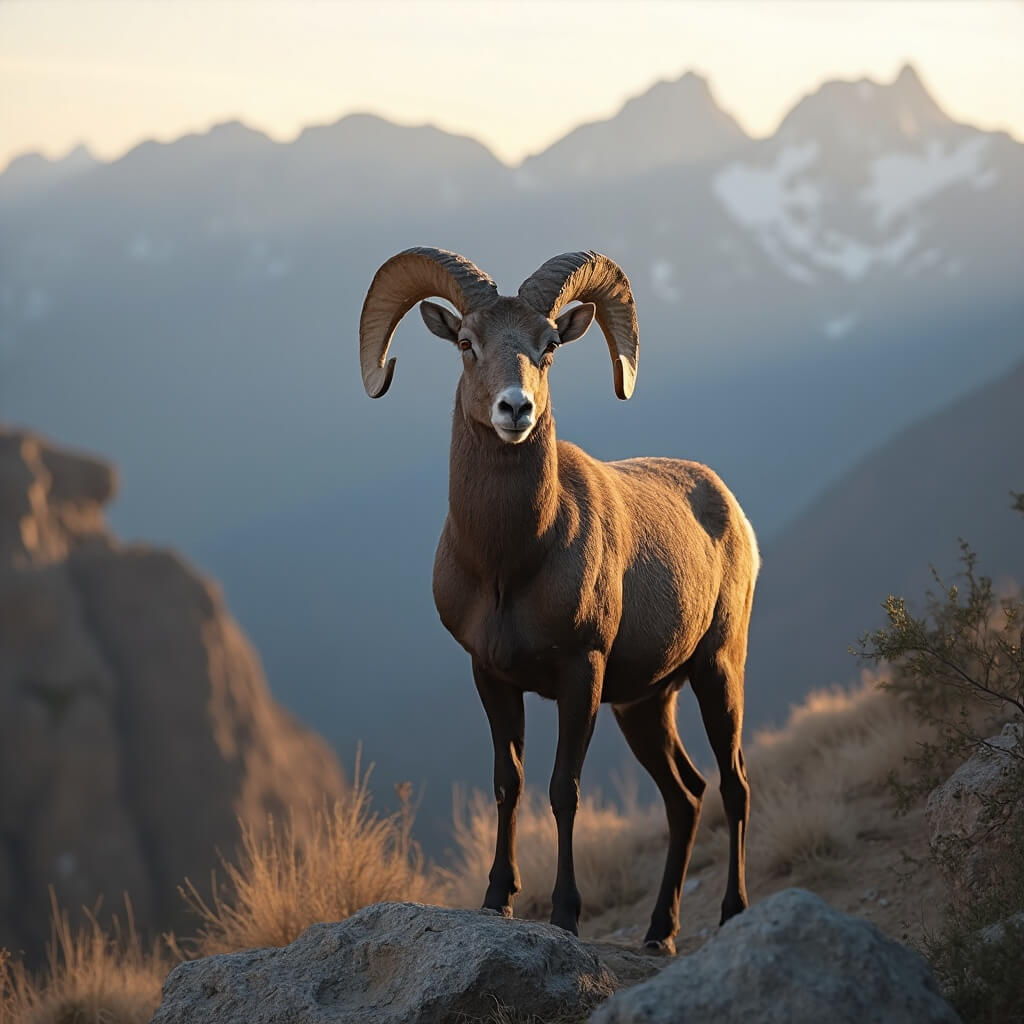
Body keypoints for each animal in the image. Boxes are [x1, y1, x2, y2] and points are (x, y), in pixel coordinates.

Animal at [359, 247, 759, 953]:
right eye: (466, 343)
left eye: (547, 347)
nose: (515, 409)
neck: (510, 564)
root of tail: (731, 509)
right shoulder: (491, 676)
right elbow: (508, 783)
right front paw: (497, 898)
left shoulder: (582, 673)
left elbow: (563, 790)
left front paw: (566, 914)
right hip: (645, 706)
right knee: (686, 795)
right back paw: (659, 934)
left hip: (717, 671)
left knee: (733, 785)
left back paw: (733, 913)